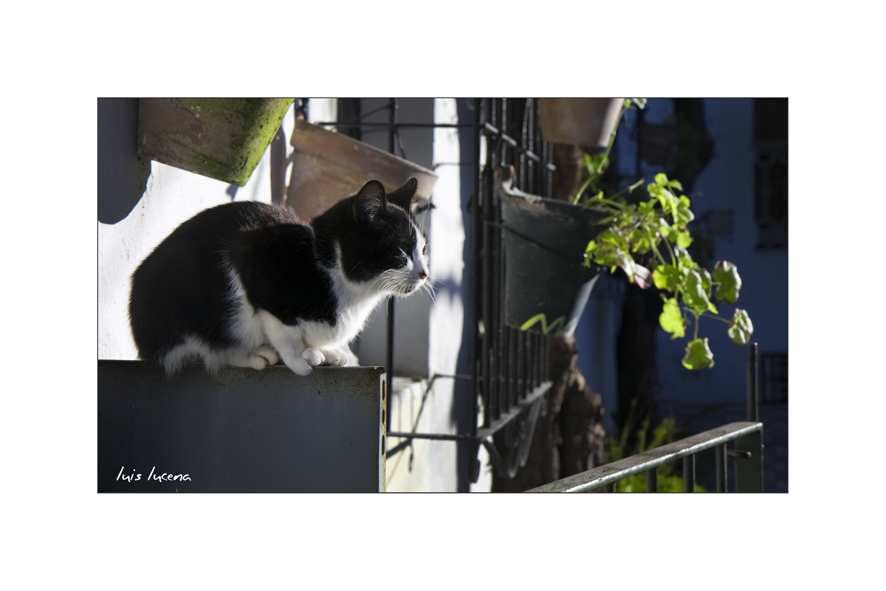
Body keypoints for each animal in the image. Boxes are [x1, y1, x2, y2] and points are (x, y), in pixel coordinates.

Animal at [128, 178, 430, 376]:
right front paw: (297, 360)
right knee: (204, 345)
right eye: (401, 250)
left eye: (423, 250)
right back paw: (252, 355)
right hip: (180, 274)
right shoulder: (251, 256)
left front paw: (329, 351)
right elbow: (283, 327)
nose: (425, 273)